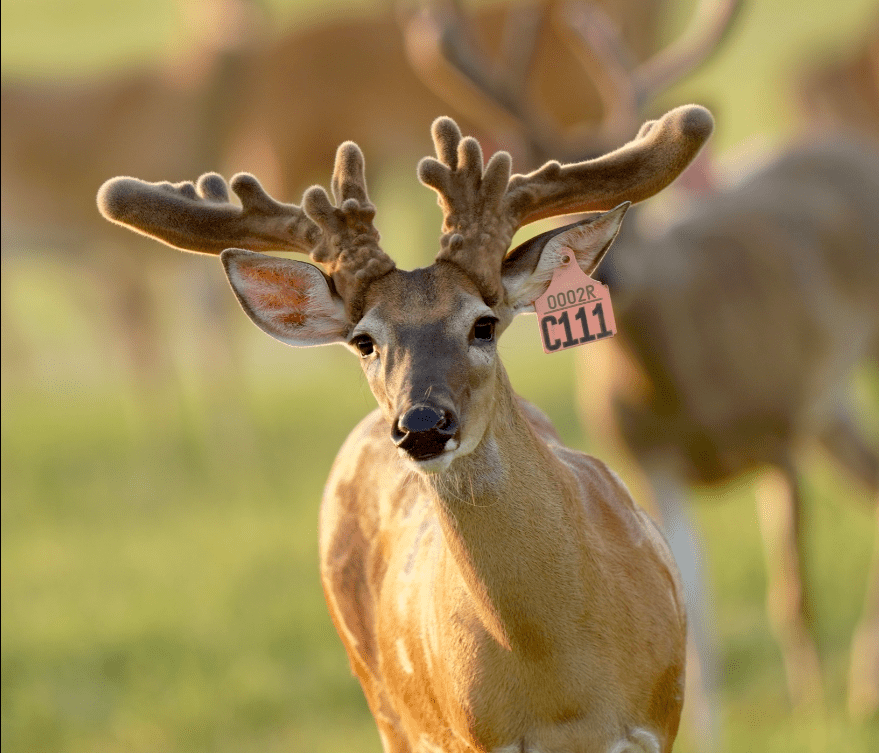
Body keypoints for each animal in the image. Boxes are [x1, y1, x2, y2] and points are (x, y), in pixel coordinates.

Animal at [96, 103, 714, 751]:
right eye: (364, 340)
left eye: (484, 324)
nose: (421, 424)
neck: (565, 687)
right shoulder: (473, 738)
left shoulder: (660, 715)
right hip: (386, 705)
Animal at [403, 0, 879, 727]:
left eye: (633, 205)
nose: (613, 274)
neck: (684, 387)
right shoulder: (649, 459)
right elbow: (694, 614)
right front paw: (709, 726)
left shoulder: (781, 421)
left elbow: (791, 591)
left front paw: (811, 708)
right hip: (833, 414)